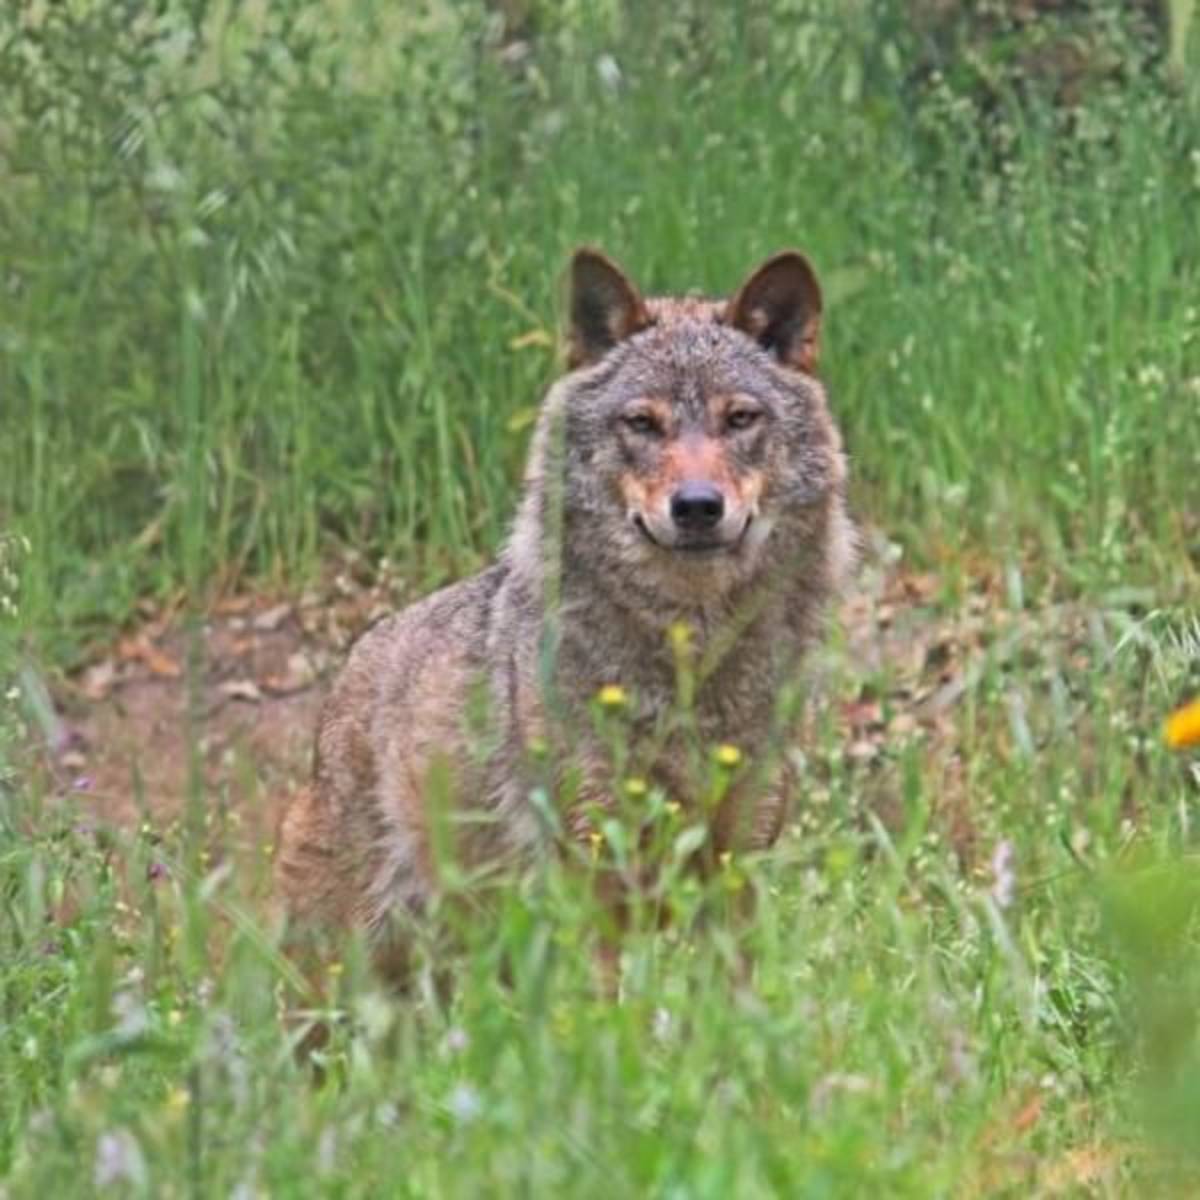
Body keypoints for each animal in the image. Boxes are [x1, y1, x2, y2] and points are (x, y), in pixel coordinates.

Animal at [276, 247, 856, 982]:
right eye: (642, 423)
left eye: (739, 419)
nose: (697, 506)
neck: (688, 660)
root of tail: (353, 665)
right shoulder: (594, 875)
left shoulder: (735, 872)